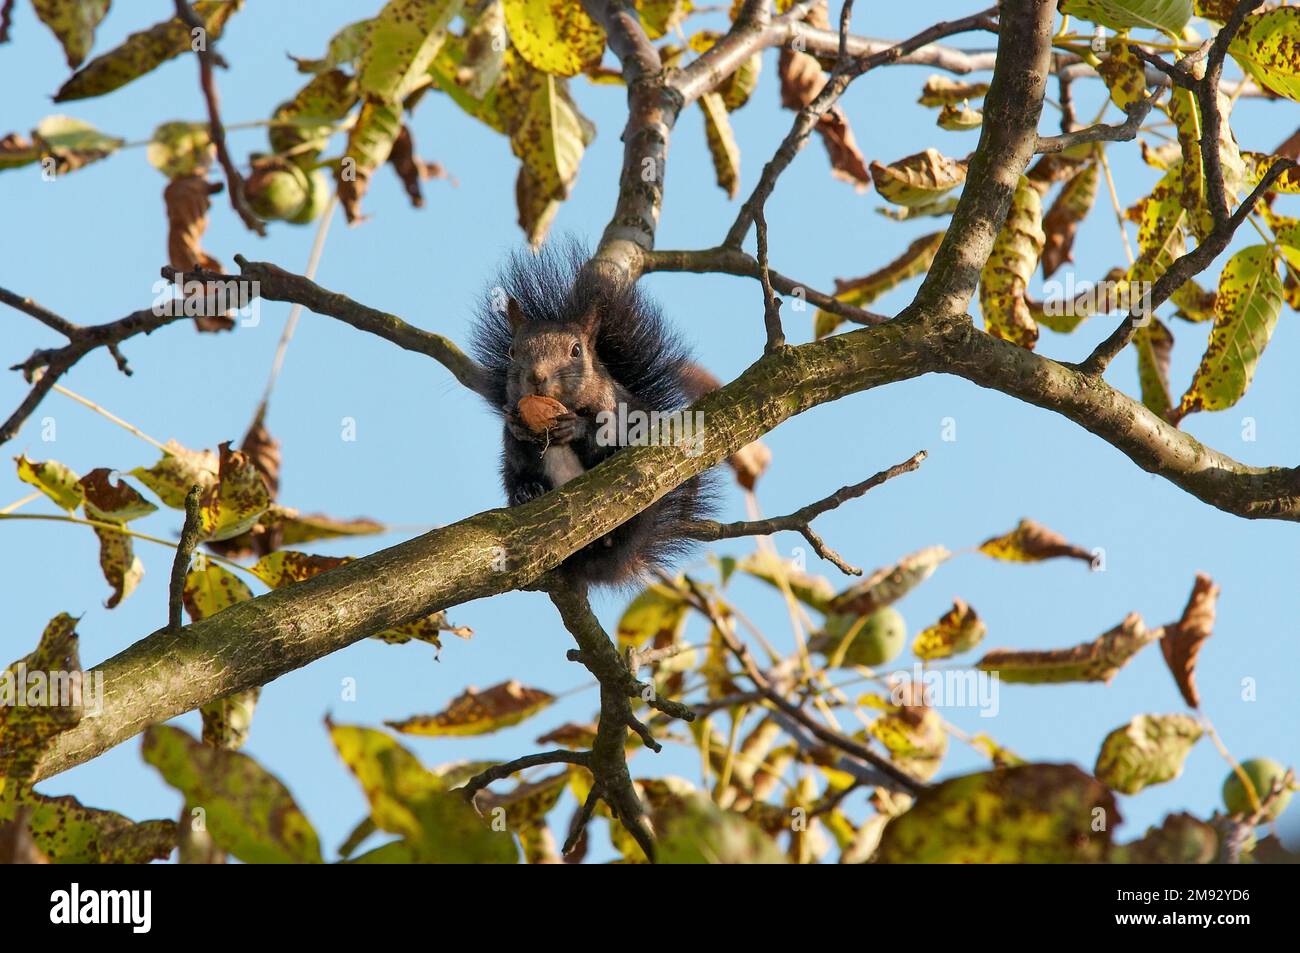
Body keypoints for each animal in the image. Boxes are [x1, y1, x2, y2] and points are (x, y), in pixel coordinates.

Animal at [470, 243, 712, 587]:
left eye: (576, 350)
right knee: (515, 474)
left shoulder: (617, 412)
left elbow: (603, 439)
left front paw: (577, 427)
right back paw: (526, 492)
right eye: (512, 352)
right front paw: (517, 425)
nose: (537, 376)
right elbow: (514, 442)